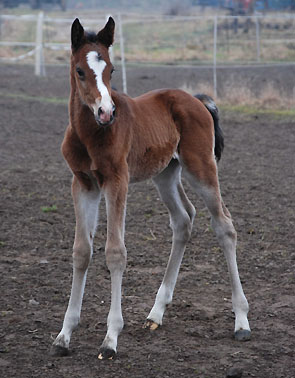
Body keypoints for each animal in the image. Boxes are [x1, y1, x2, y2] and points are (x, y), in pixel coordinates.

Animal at [51, 17, 252, 360]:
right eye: (80, 70)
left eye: (111, 69)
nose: (107, 112)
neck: (91, 134)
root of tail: (197, 100)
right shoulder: (83, 183)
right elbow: (81, 251)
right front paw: (64, 335)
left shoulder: (116, 180)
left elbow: (115, 252)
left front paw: (110, 339)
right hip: (165, 175)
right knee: (183, 220)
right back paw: (156, 313)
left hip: (201, 168)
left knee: (224, 226)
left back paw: (241, 322)